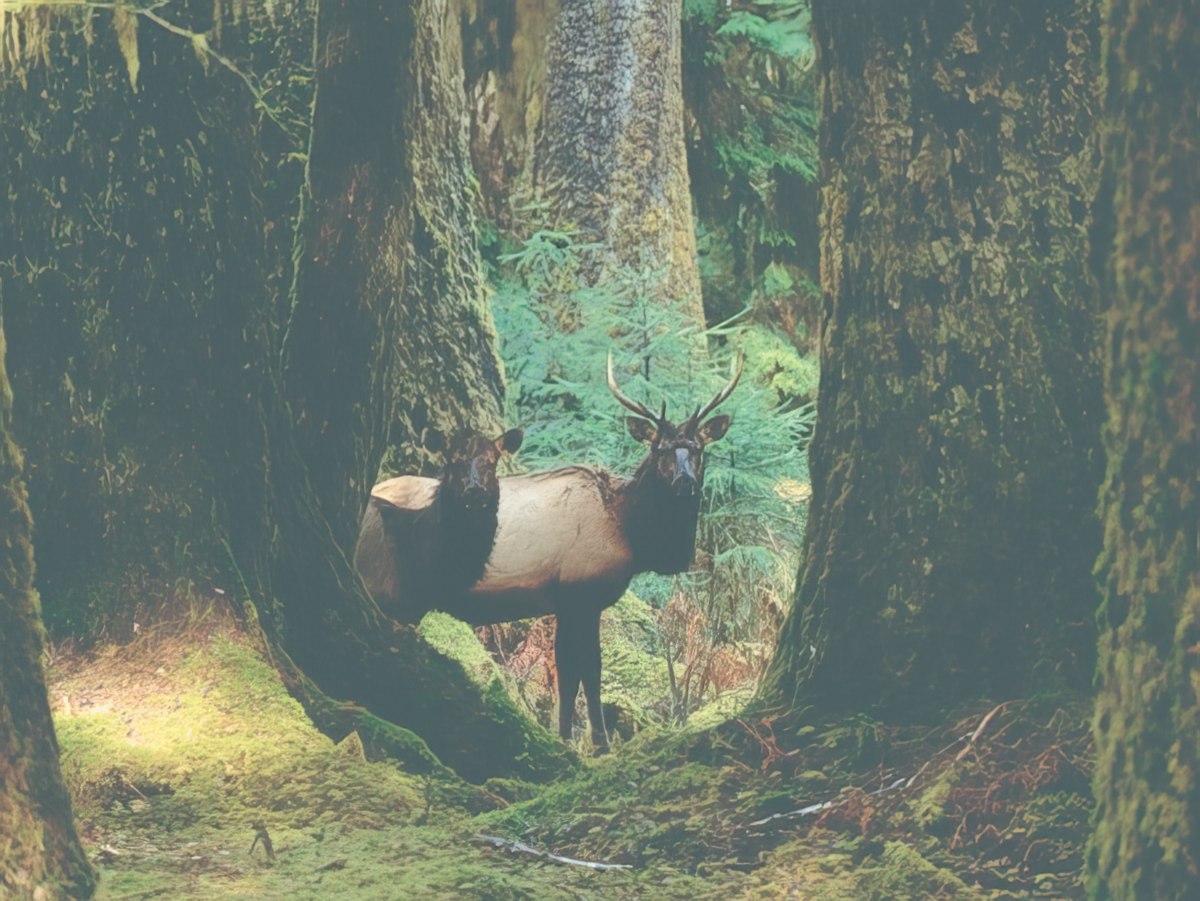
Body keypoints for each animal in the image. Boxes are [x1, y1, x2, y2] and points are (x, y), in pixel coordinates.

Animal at [434, 353, 744, 753]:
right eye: (659, 448)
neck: (631, 534)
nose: (684, 482)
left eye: (698, 448)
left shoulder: (566, 602)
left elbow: (569, 672)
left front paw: (568, 735)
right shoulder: (581, 593)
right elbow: (587, 670)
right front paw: (595, 743)